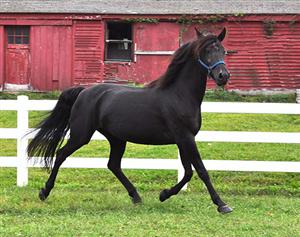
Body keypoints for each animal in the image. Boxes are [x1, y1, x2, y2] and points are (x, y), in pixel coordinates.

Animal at [28, 27, 233, 213]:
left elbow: (188, 172)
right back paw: (44, 192)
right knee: (61, 154)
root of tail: (84, 91)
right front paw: (222, 205)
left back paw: (136, 196)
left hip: (116, 139)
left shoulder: (184, 139)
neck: (179, 95)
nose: (223, 76)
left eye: (223, 50)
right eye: (206, 51)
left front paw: (164, 194)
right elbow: (200, 170)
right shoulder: (185, 137)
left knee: (113, 165)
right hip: (81, 135)